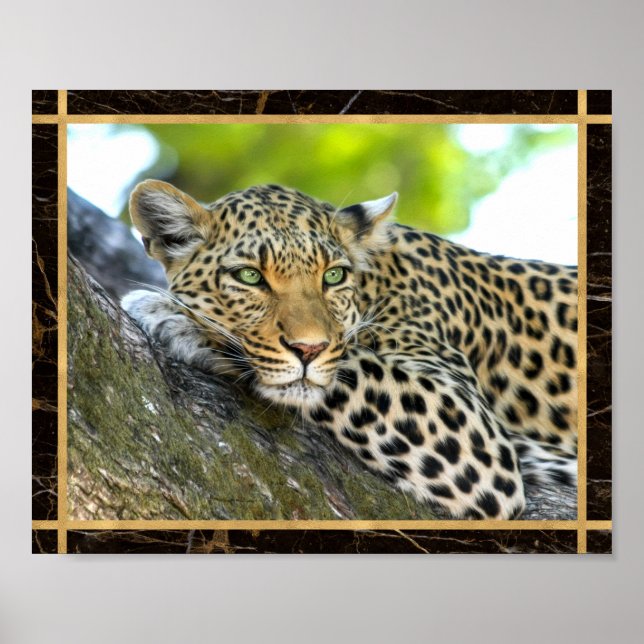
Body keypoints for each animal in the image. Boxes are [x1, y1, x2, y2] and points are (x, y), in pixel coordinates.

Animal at [121, 179, 578, 520]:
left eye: (333, 276)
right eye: (250, 277)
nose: (308, 349)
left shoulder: (473, 433)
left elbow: (346, 365)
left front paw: (174, 317)